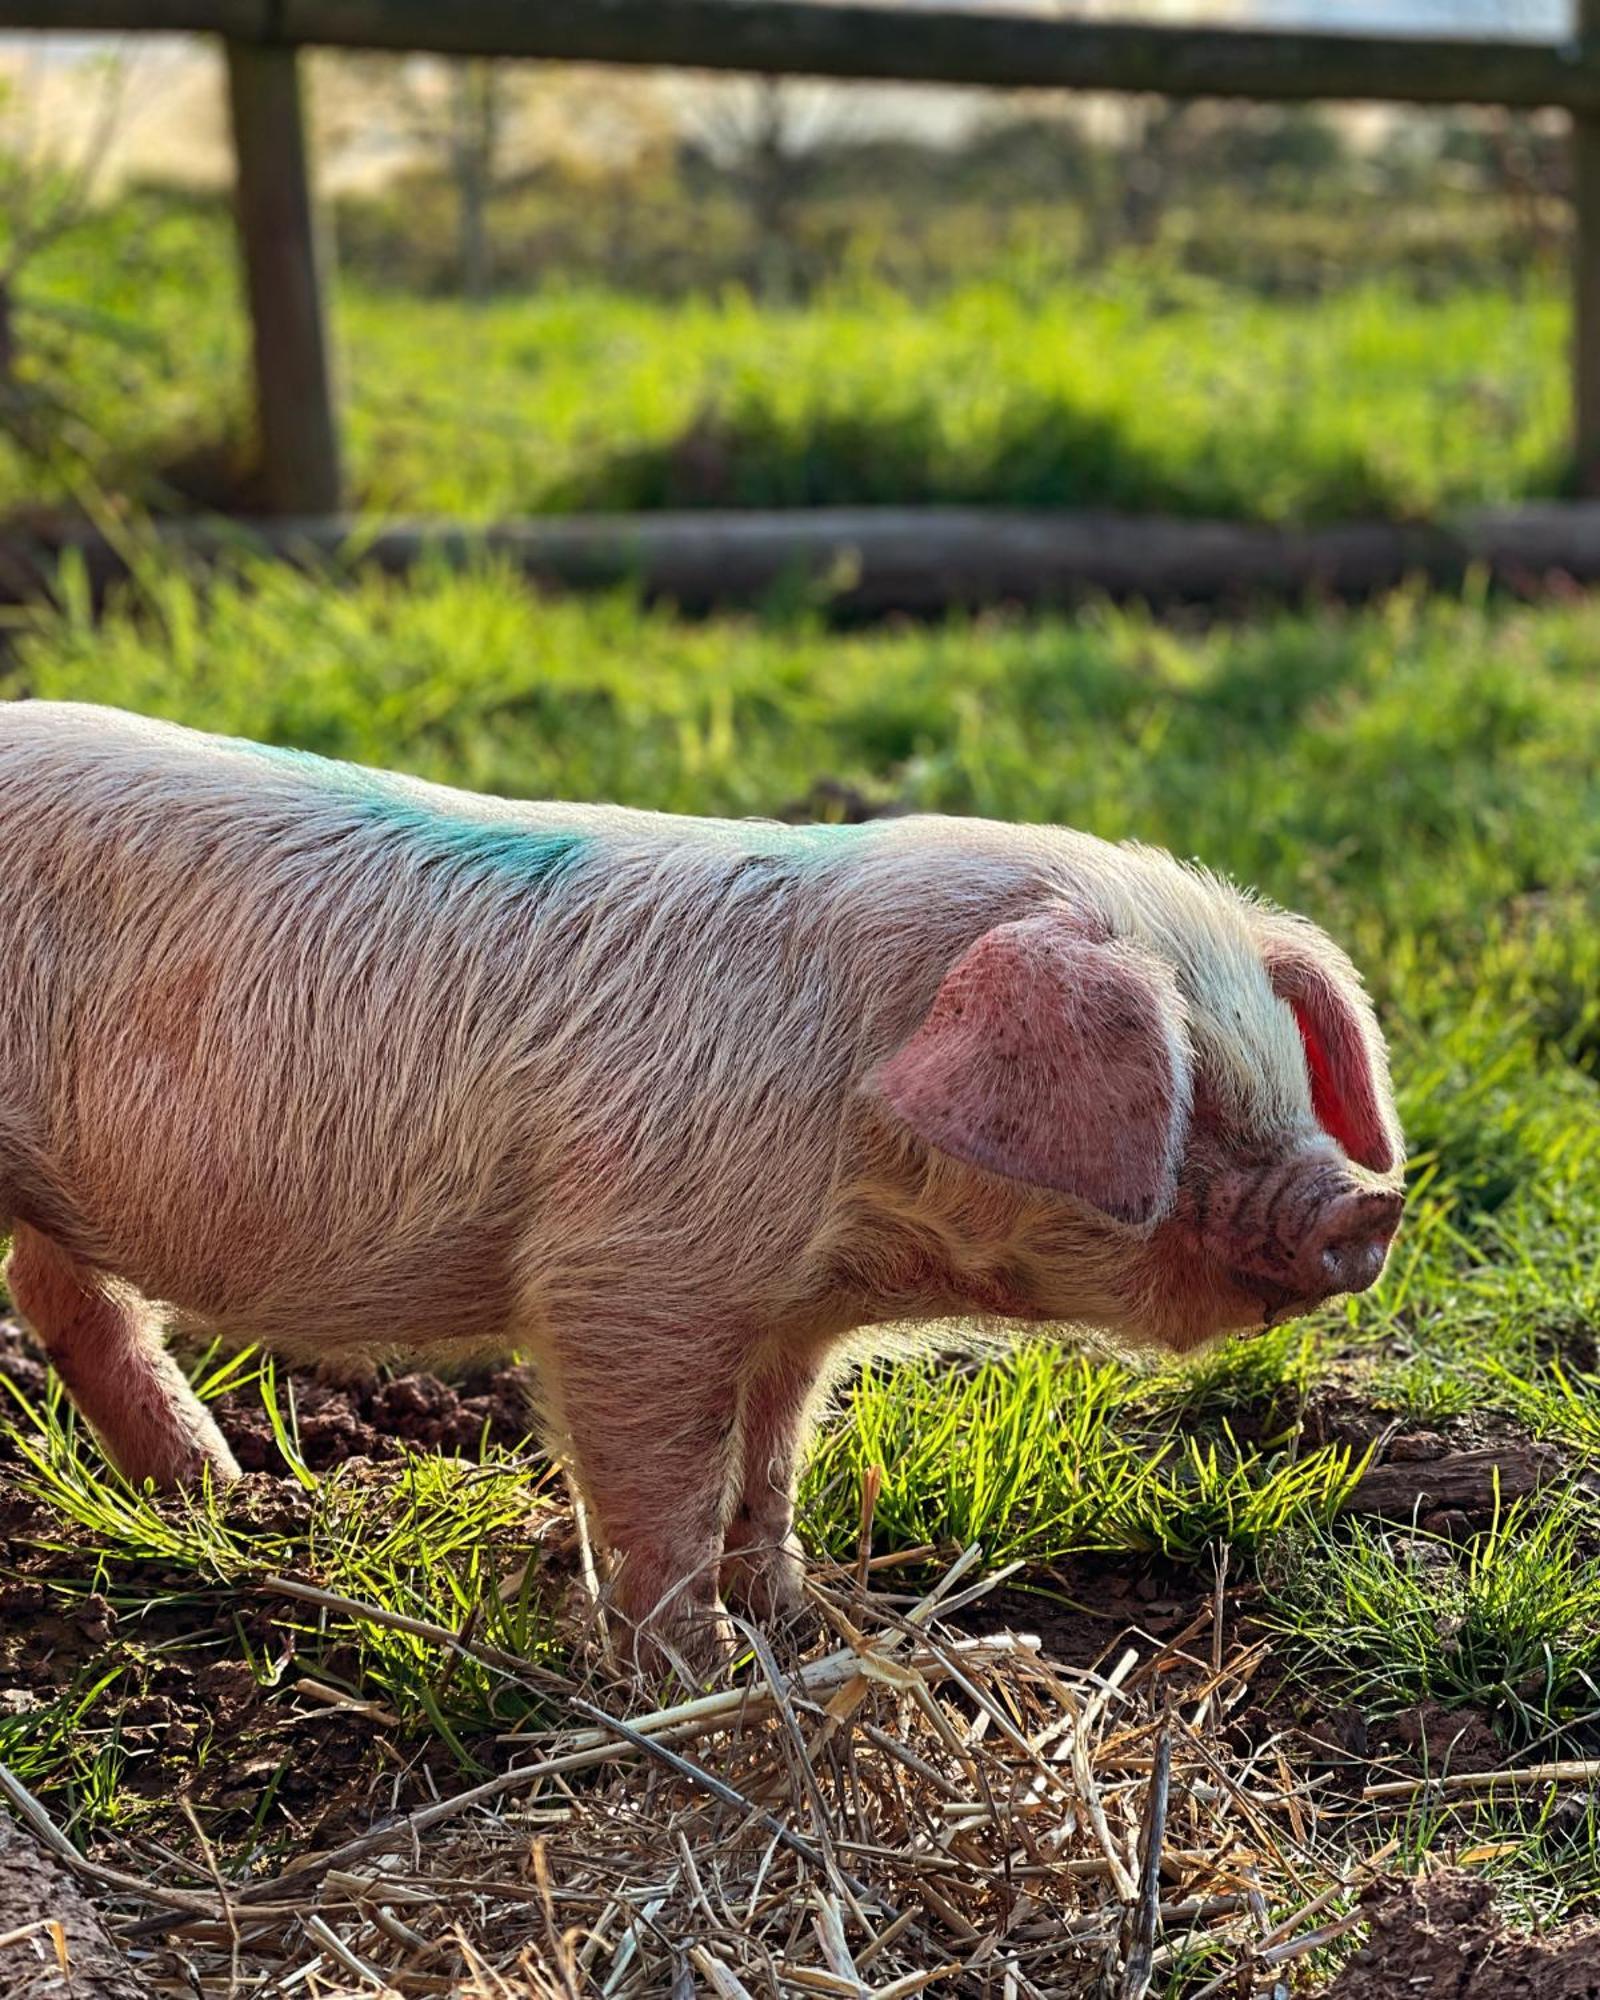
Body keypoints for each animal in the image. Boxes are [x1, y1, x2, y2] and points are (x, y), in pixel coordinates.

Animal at [0, 704, 1400, 1672]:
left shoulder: (787, 1316)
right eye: (1186, 1105)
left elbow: (769, 1457)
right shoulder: (628, 1276)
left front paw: (799, 1606)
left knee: (66, 1296)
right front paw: (703, 1669)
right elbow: (660, 1480)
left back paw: (217, 1494)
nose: (1365, 1204)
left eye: (1287, 1083)